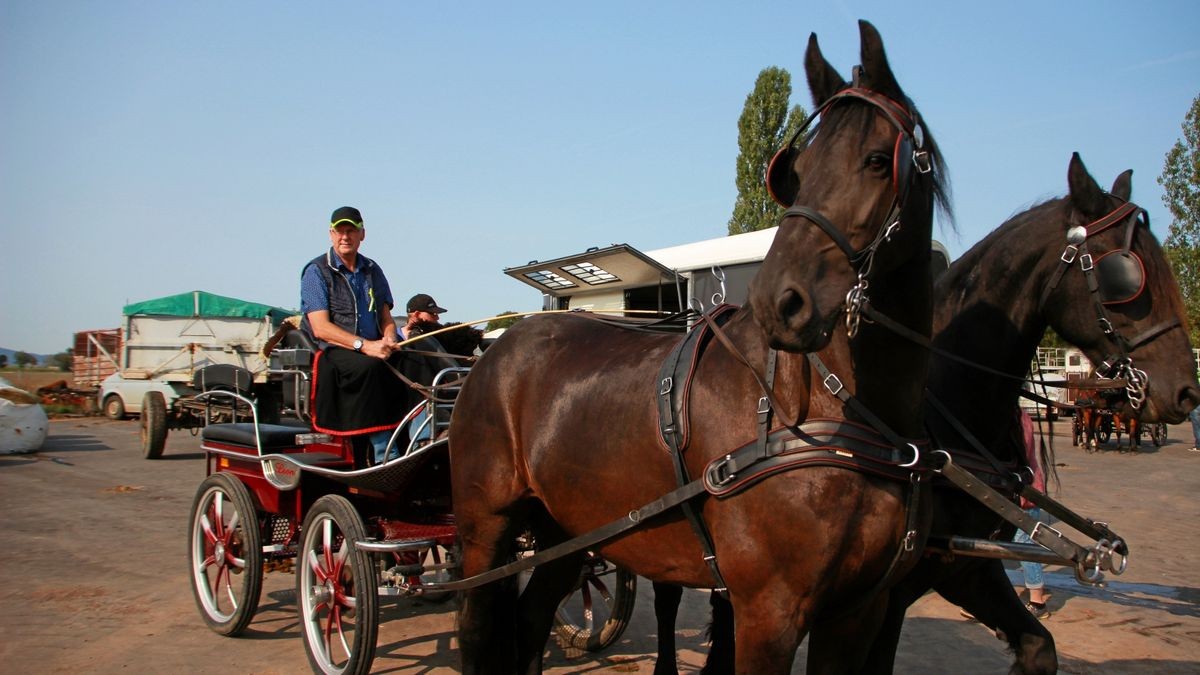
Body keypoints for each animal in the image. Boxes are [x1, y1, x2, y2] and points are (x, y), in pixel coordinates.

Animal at [448, 18, 945, 667]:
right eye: (797, 171)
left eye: (877, 160)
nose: (779, 301)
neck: (834, 419)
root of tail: (495, 351)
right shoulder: (768, 614)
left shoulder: (858, 612)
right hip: (486, 529)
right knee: (478, 626)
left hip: (566, 530)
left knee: (531, 620)